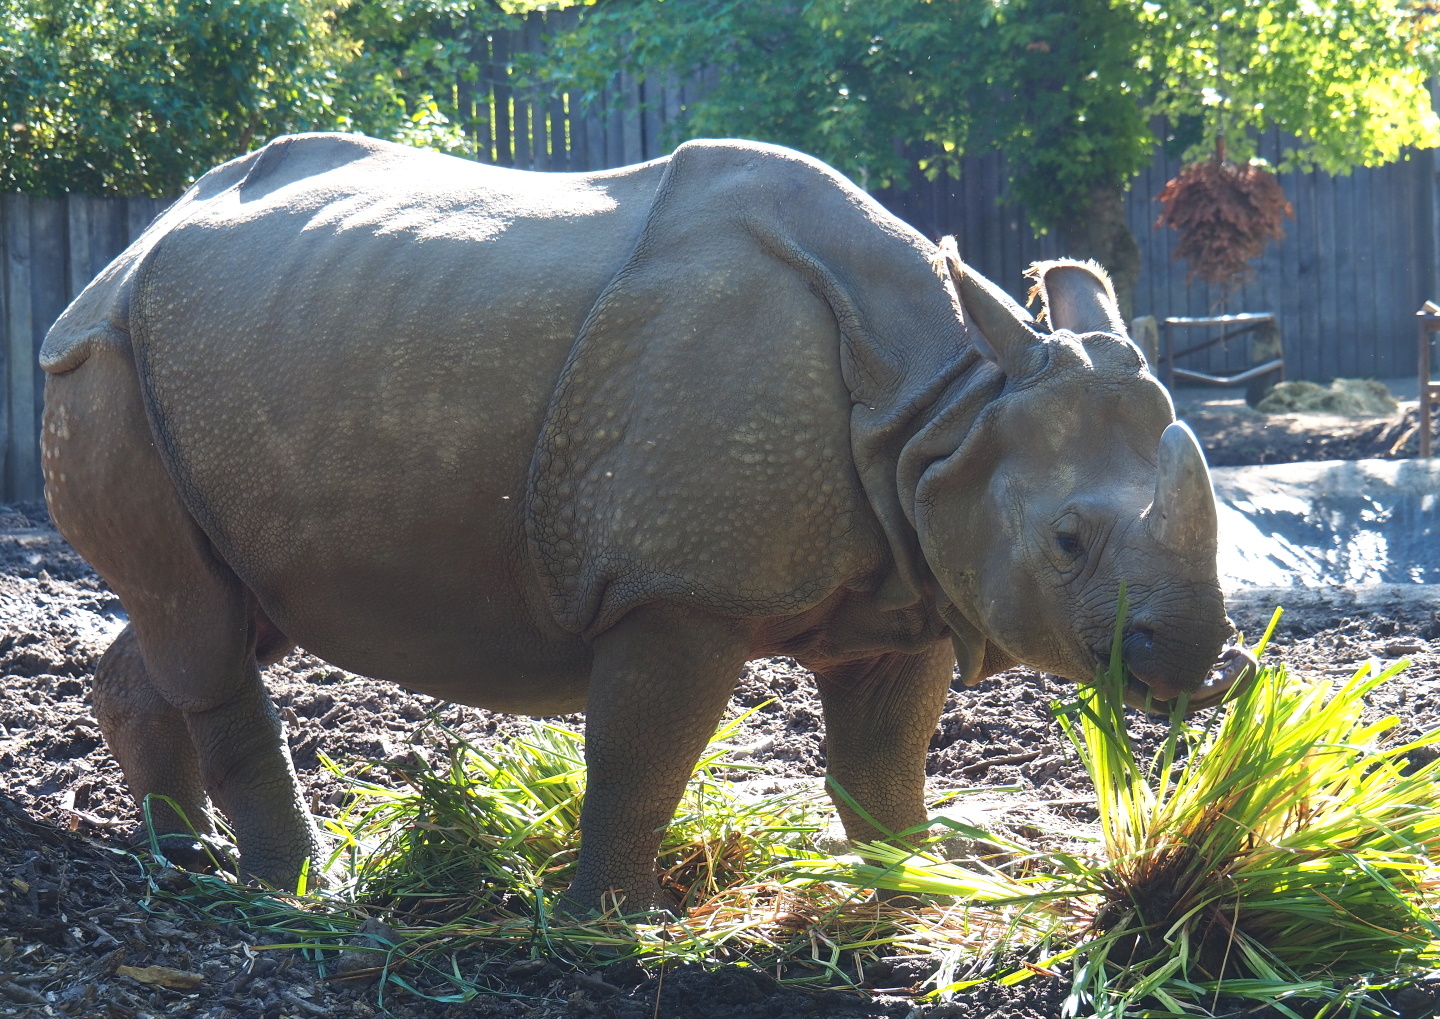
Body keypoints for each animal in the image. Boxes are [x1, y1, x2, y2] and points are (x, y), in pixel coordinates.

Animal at [40, 134, 1245, 911]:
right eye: (1068, 541)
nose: (1190, 660)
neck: (942, 410)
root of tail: (126, 248)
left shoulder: (909, 584)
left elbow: (883, 755)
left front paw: (924, 883)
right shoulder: (678, 587)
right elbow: (643, 746)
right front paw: (613, 922)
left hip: (244, 350)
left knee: (220, 606)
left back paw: (181, 857)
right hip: (105, 362)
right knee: (200, 620)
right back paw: (301, 890)